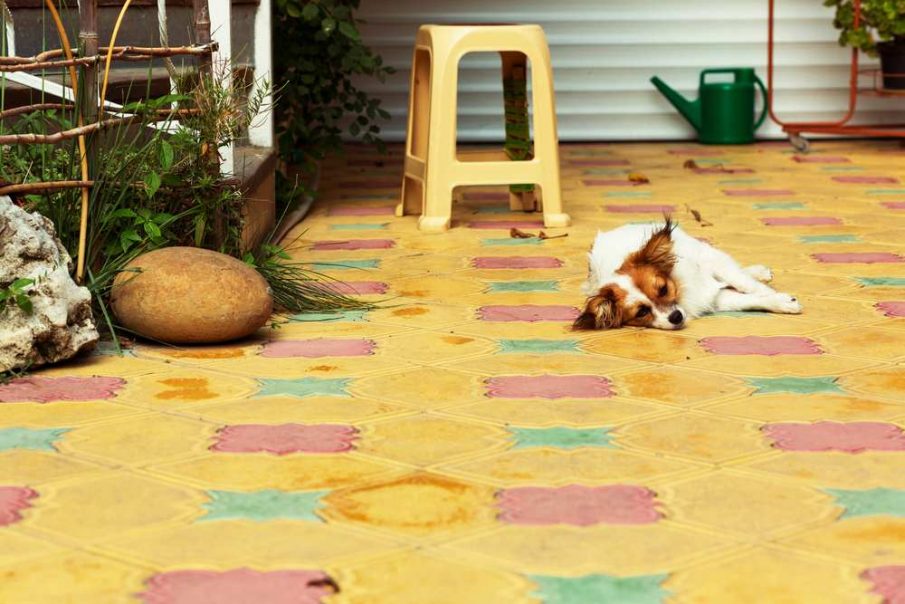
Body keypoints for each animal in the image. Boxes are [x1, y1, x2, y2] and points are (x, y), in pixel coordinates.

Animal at [576, 218, 800, 330]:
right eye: (641, 313)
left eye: (663, 289)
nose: (675, 317)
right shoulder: (713, 299)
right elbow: (745, 300)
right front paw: (779, 302)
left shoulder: (712, 265)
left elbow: (748, 286)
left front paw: (778, 297)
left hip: (707, 252)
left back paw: (759, 272)